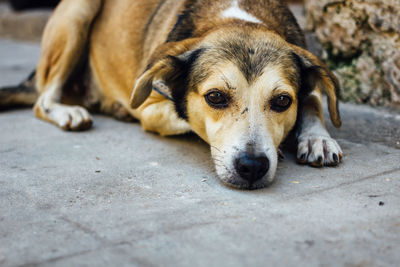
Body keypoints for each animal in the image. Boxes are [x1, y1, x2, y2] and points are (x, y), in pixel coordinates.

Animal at [0, 0, 344, 189]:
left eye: (282, 101)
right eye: (215, 97)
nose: (253, 166)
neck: (237, 14)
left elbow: (312, 99)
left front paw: (317, 138)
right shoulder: (150, 107)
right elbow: (184, 113)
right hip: (78, 11)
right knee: (43, 100)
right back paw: (69, 112)